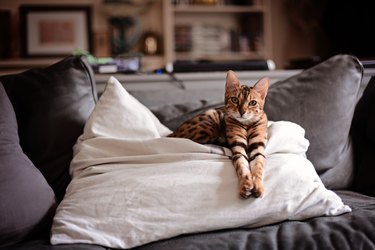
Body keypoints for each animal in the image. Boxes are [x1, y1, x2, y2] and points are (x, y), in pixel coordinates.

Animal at [169, 71, 268, 199]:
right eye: (235, 99)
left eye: (253, 103)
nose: (242, 112)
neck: (246, 125)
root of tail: (172, 133)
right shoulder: (238, 147)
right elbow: (242, 166)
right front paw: (245, 185)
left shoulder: (258, 147)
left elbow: (258, 167)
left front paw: (258, 186)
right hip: (210, 123)